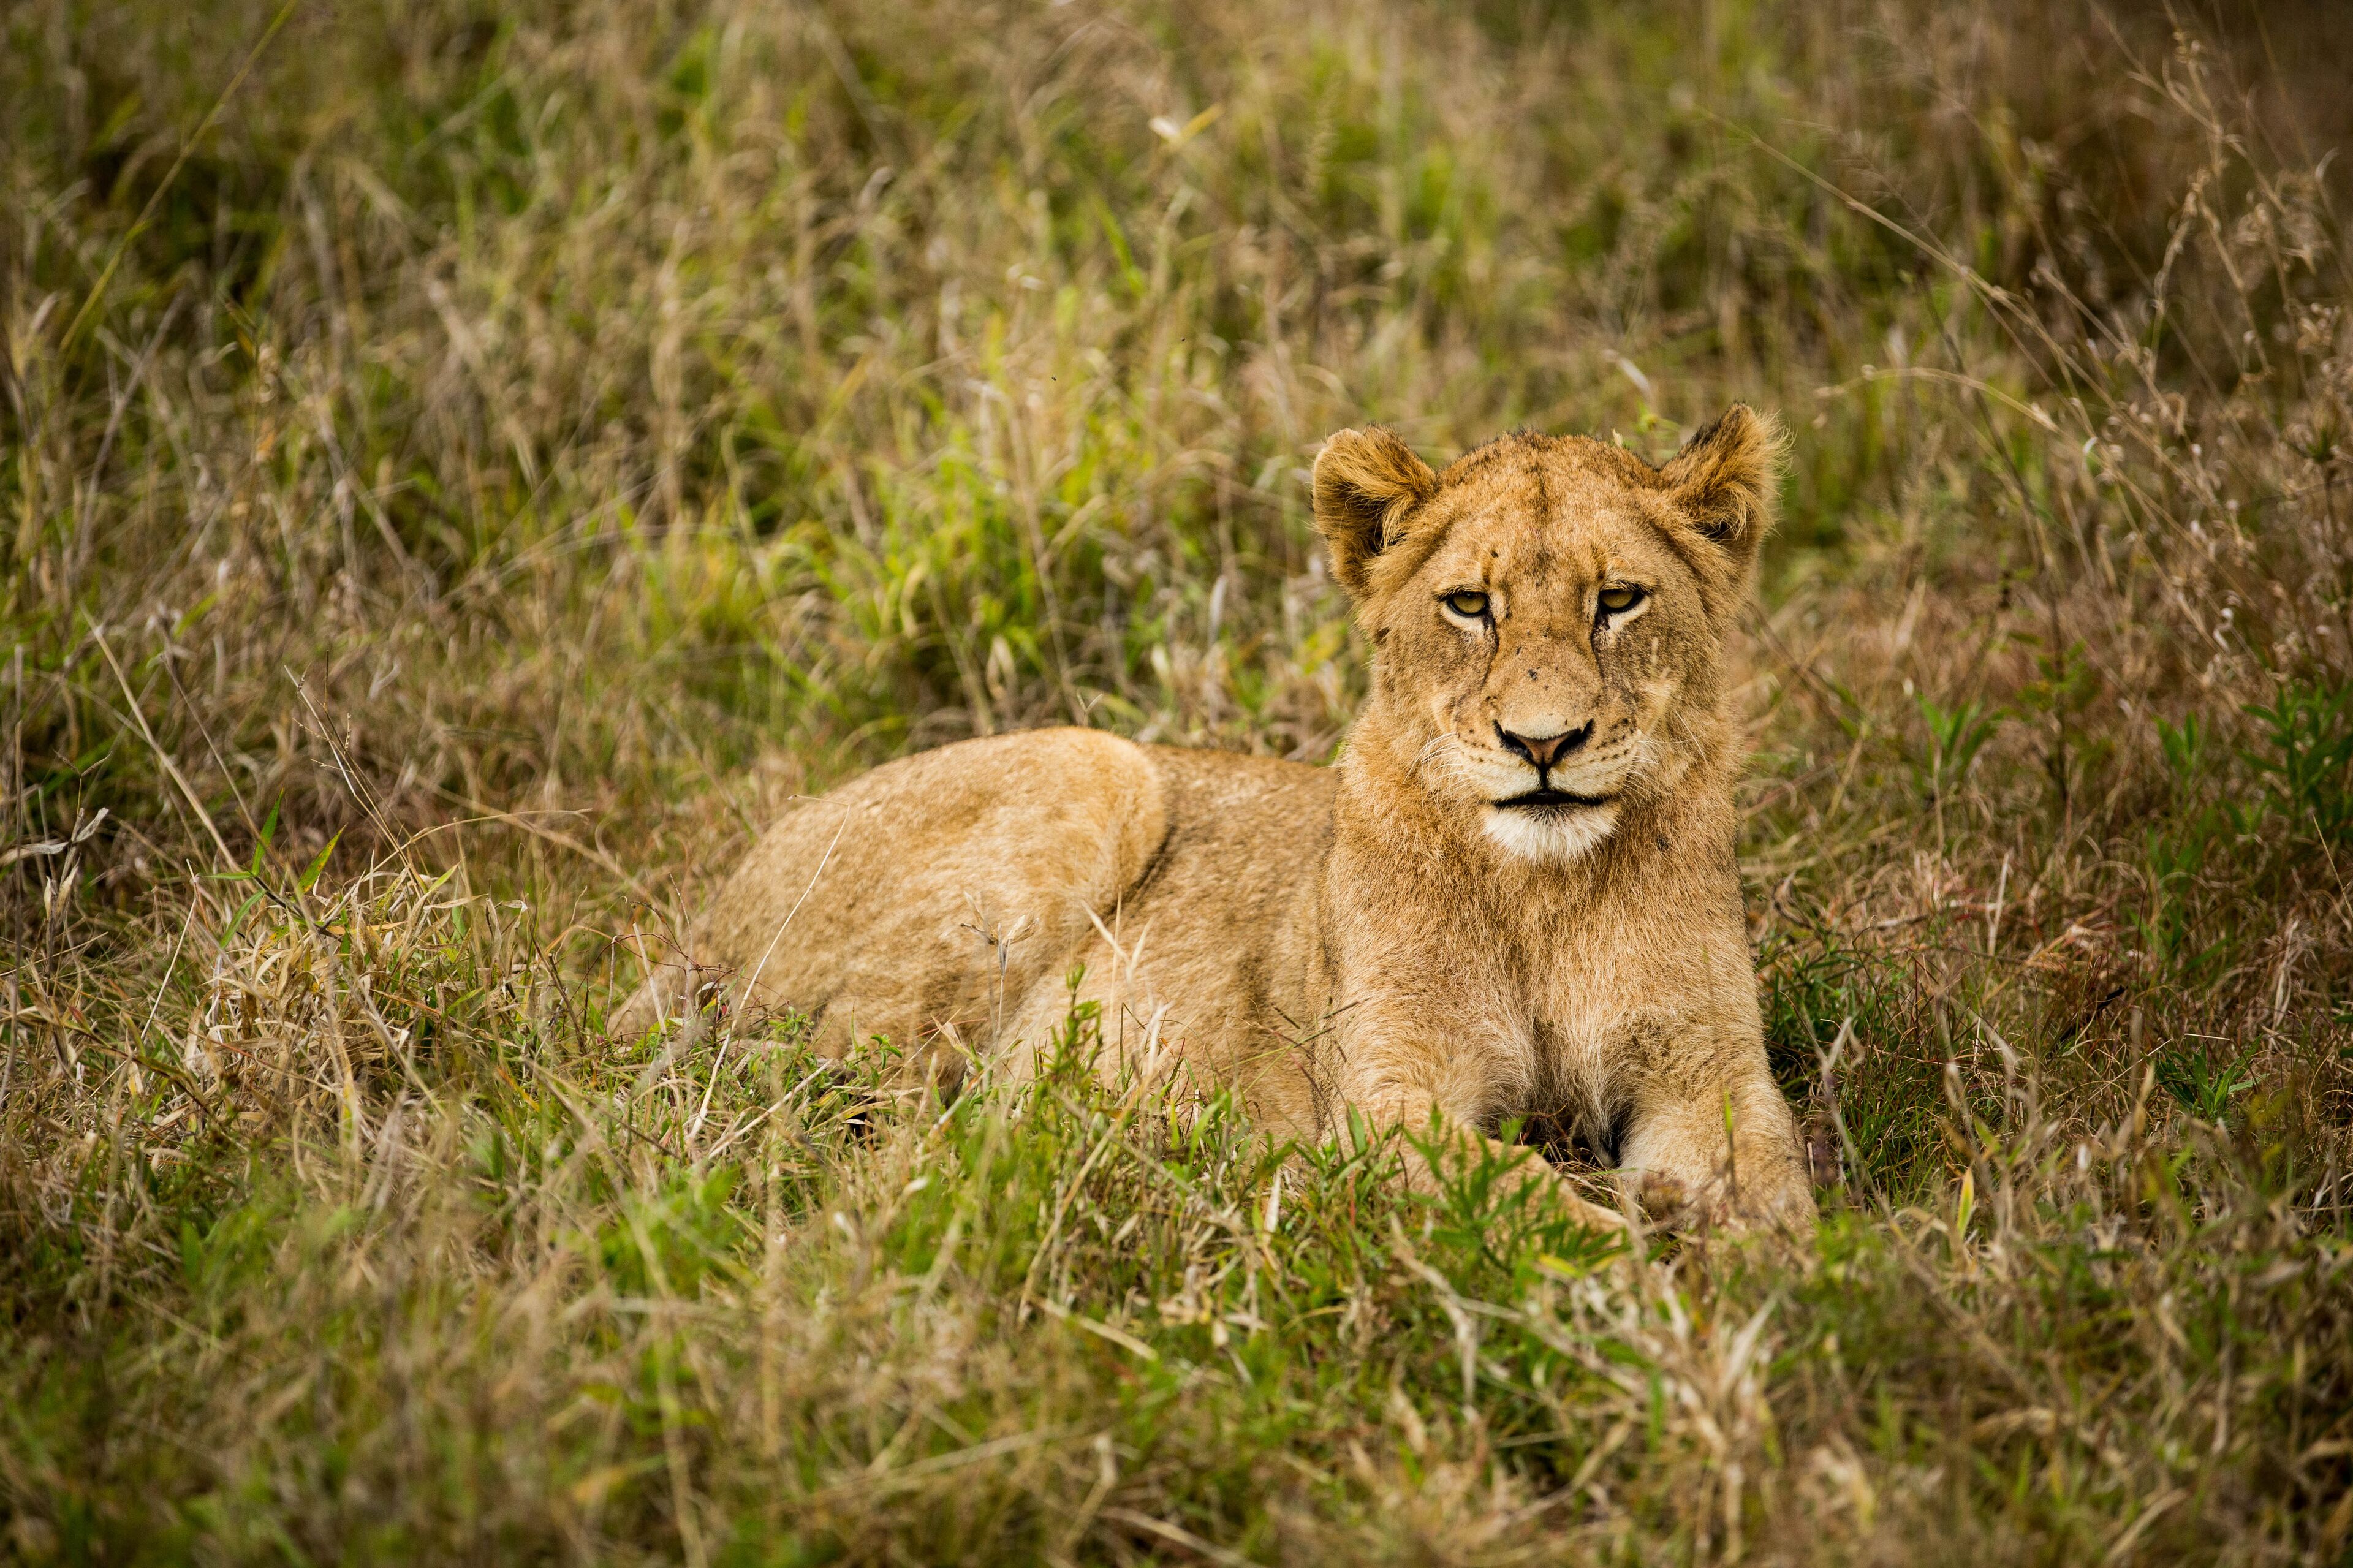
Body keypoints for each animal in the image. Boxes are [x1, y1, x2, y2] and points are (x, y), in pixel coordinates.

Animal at [617, 406, 1814, 1233]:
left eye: (1619, 600)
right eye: (1471, 605)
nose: (1544, 744)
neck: (1542, 892)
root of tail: (711, 909)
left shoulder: (1706, 1068)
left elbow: (1779, 1187)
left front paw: (1765, 1274)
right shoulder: (1386, 1101)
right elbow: (1530, 1202)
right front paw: (1651, 1272)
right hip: (1095, 770)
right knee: (841, 1104)